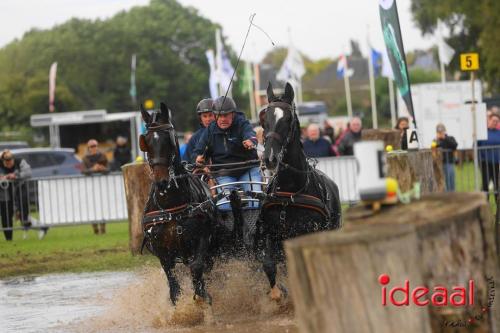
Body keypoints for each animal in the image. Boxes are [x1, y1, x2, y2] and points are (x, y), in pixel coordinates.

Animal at [139, 102, 215, 304]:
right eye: (146, 142)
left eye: (169, 139)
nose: (161, 182)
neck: (171, 207)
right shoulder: (163, 254)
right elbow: (174, 287)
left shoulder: (203, 238)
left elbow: (197, 268)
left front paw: (202, 297)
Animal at [256, 81, 342, 300]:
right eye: (264, 118)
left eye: (288, 119)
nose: (269, 158)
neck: (290, 193)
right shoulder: (271, 233)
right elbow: (269, 264)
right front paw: (278, 294)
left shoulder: (308, 234)